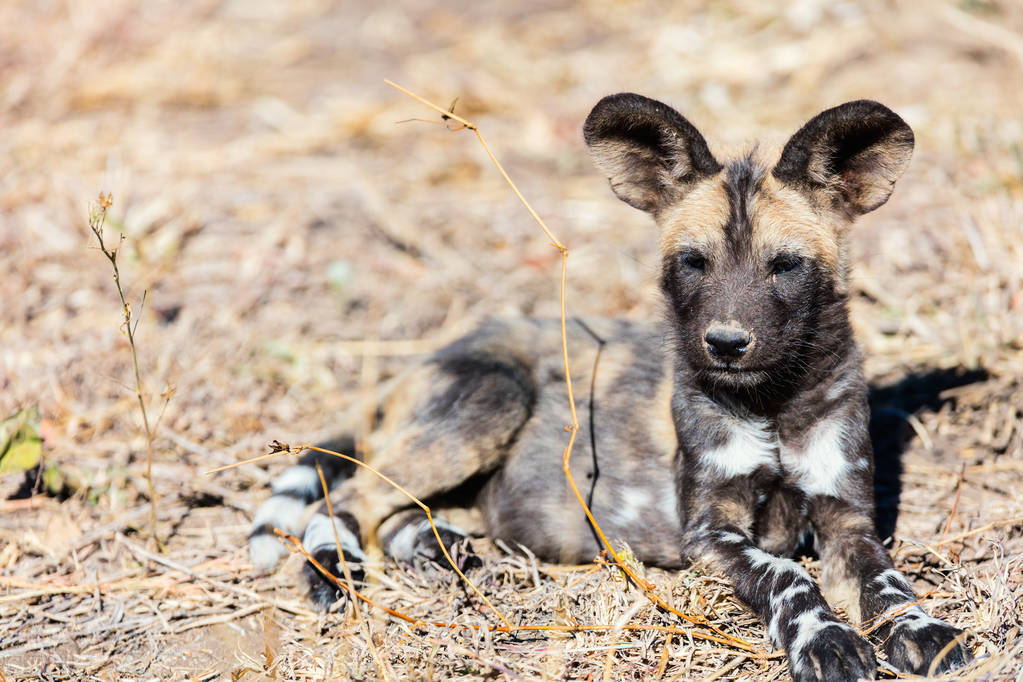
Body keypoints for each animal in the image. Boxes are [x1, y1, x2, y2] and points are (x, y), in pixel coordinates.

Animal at [251, 93, 969, 678]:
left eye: (785, 266)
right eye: (693, 263)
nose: (725, 343)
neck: (772, 401)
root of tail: (425, 355)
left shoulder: (849, 522)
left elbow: (888, 583)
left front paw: (922, 630)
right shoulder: (709, 534)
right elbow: (788, 576)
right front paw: (824, 640)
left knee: (391, 506)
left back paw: (440, 547)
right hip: (491, 401)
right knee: (348, 497)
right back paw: (333, 572)